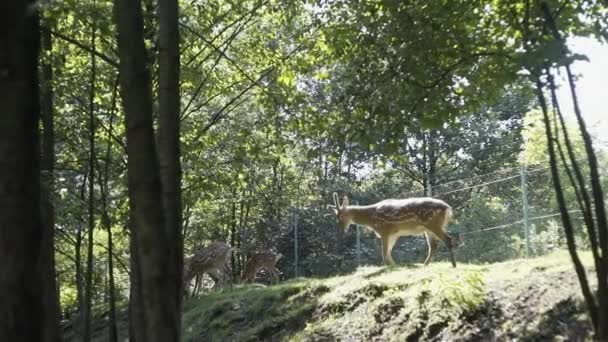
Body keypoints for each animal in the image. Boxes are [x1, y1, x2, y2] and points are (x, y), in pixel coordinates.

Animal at [328, 192, 456, 268]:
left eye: (339, 217)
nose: (341, 229)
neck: (371, 218)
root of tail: (448, 208)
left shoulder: (385, 230)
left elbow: (384, 253)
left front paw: (385, 267)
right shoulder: (394, 234)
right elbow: (389, 251)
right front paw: (394, 266)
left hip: (434, 224)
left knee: (448, 239)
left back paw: (453, 264)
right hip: (428, 229)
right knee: (434, 246)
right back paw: (424, 265)